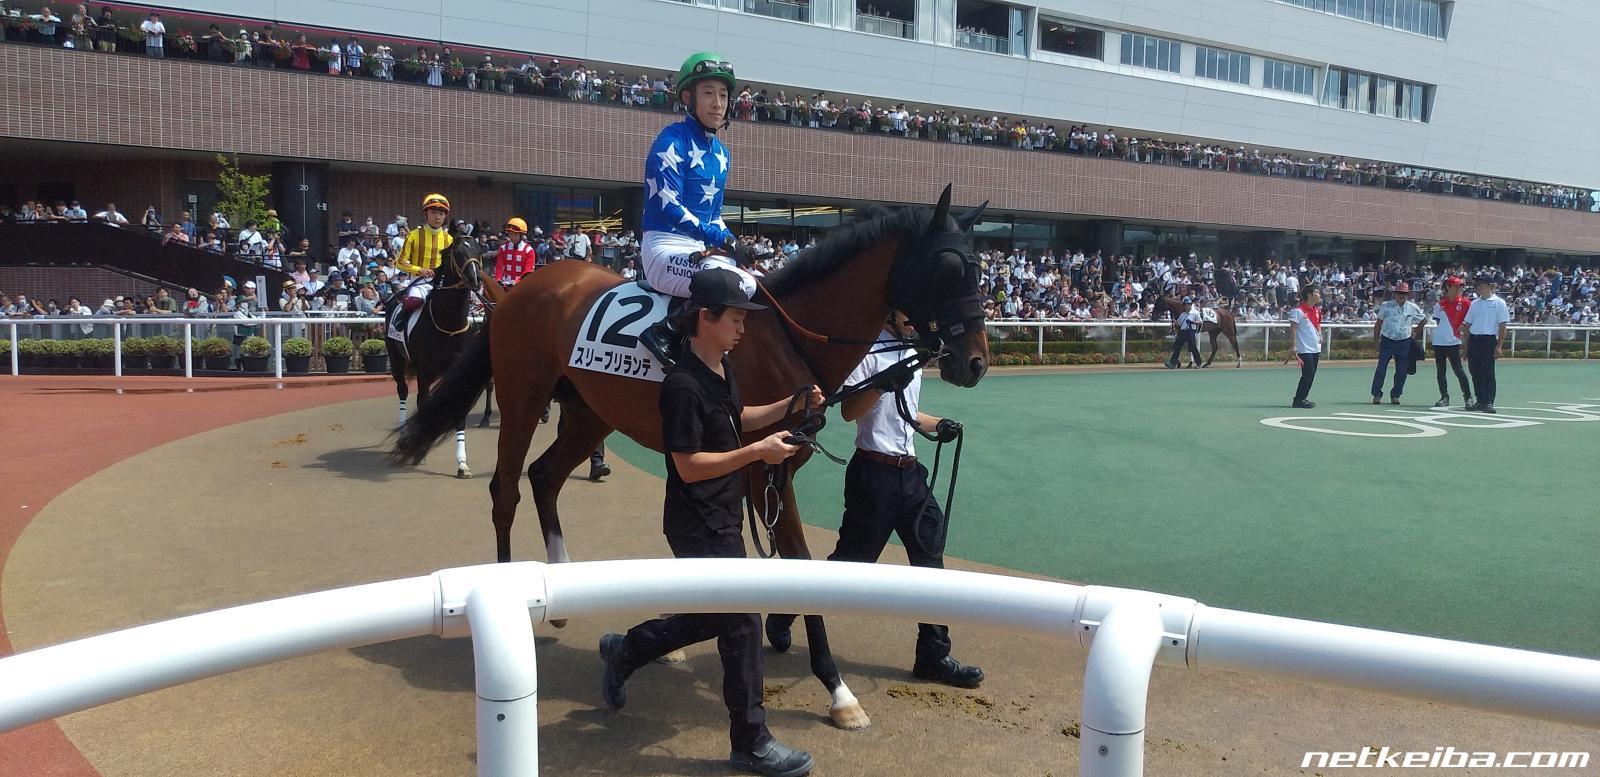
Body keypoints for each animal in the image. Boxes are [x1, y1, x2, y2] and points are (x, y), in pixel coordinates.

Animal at [385, 224, 485, 478]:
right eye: (457, 252)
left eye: (479, 249)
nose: (475, 278)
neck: (447, 325)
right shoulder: (424, 372)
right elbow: (421, 402)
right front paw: (418, 451)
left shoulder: (458, 373)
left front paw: (462, 464)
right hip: (396, 361)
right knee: (402, 391)